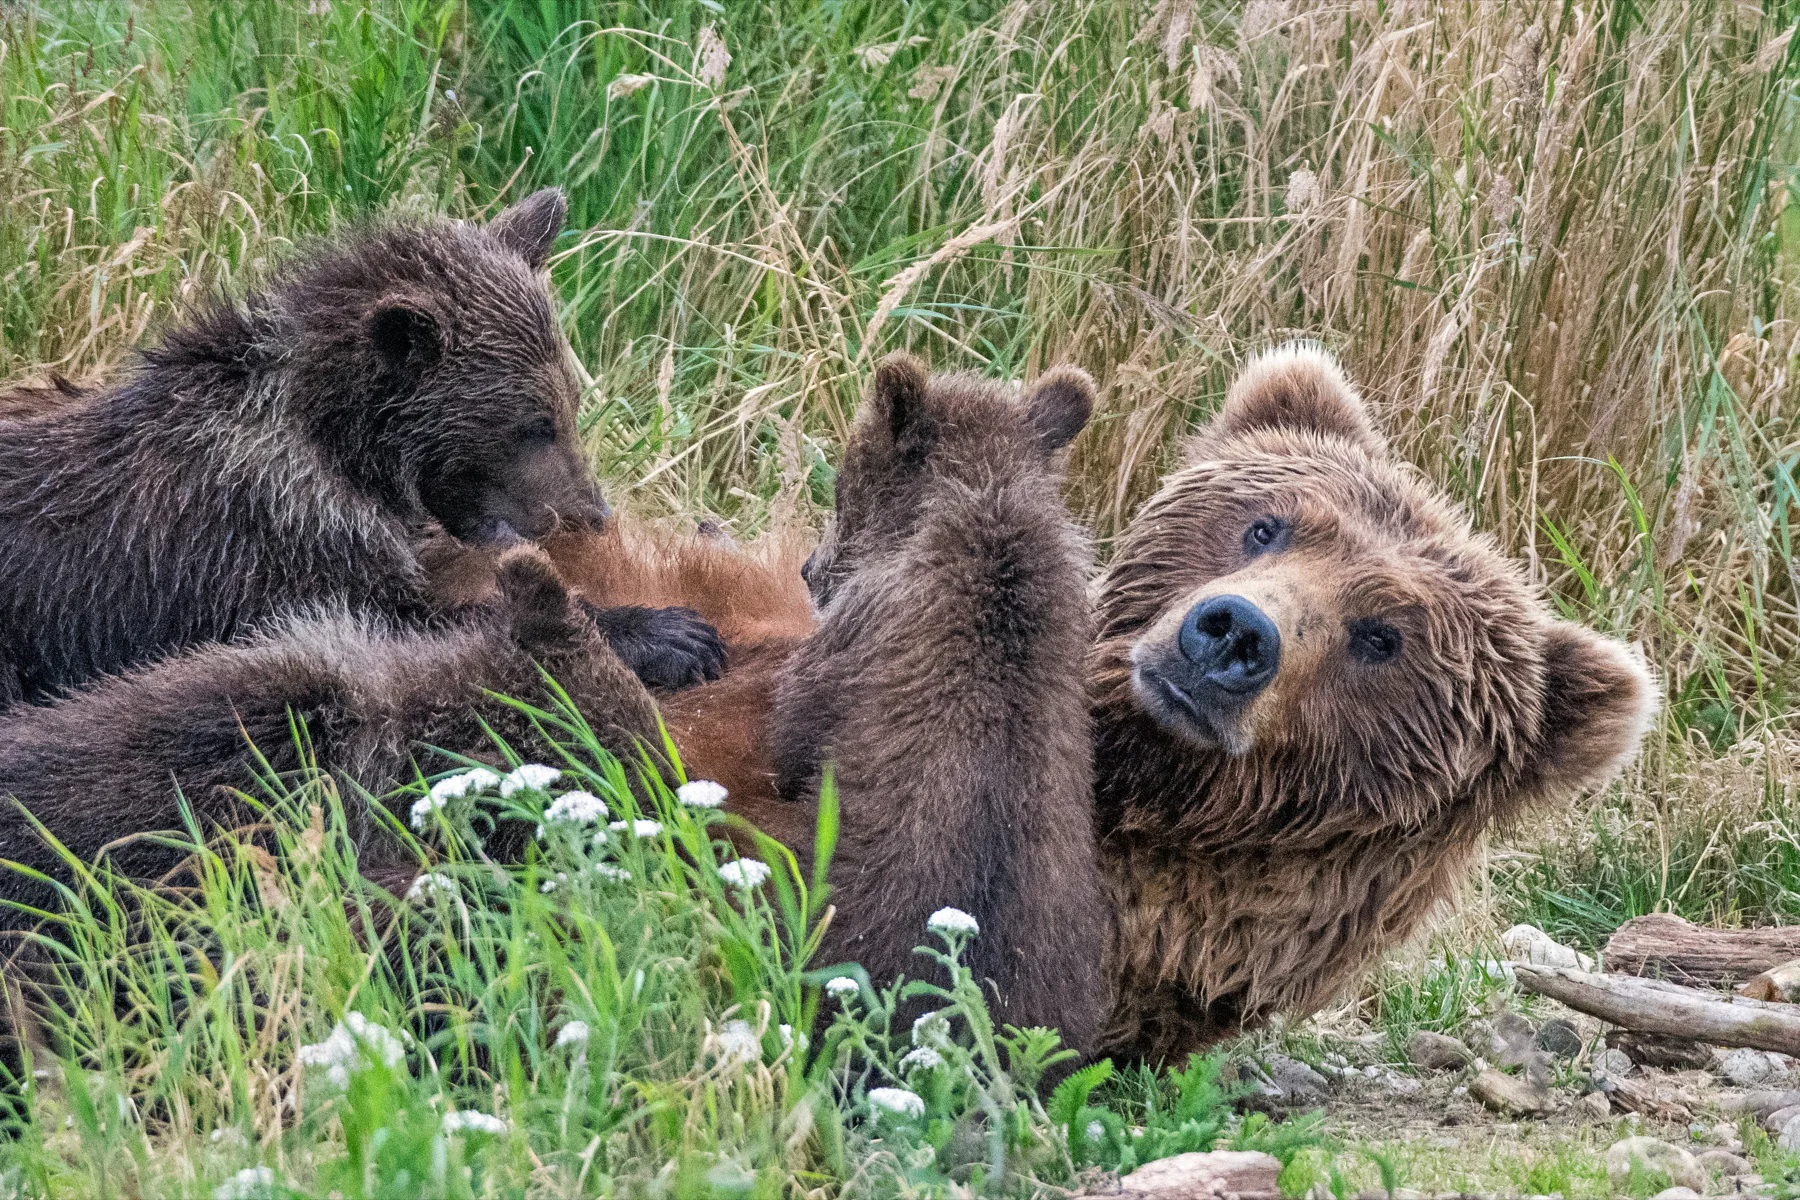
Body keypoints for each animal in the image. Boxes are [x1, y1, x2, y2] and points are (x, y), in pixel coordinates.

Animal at [0, 187, 719, 708]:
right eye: (532, 423)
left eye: (571, 401)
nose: (593, 515)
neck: (342, 455)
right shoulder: (257, 554)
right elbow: (404, 624)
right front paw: (673, 632)